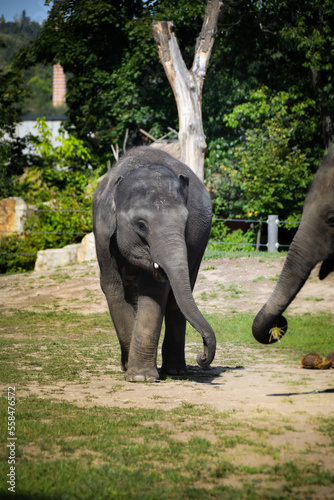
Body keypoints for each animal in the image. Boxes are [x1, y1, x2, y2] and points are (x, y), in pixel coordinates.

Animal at [92, 146, 215, 380]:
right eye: (141, 224)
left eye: (186, 222)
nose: (202, 356)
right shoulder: (101, 234)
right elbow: (113, 288)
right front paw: (134, 372)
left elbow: (155, 291)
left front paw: (141, 376)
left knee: (178, 299)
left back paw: (175, 370)